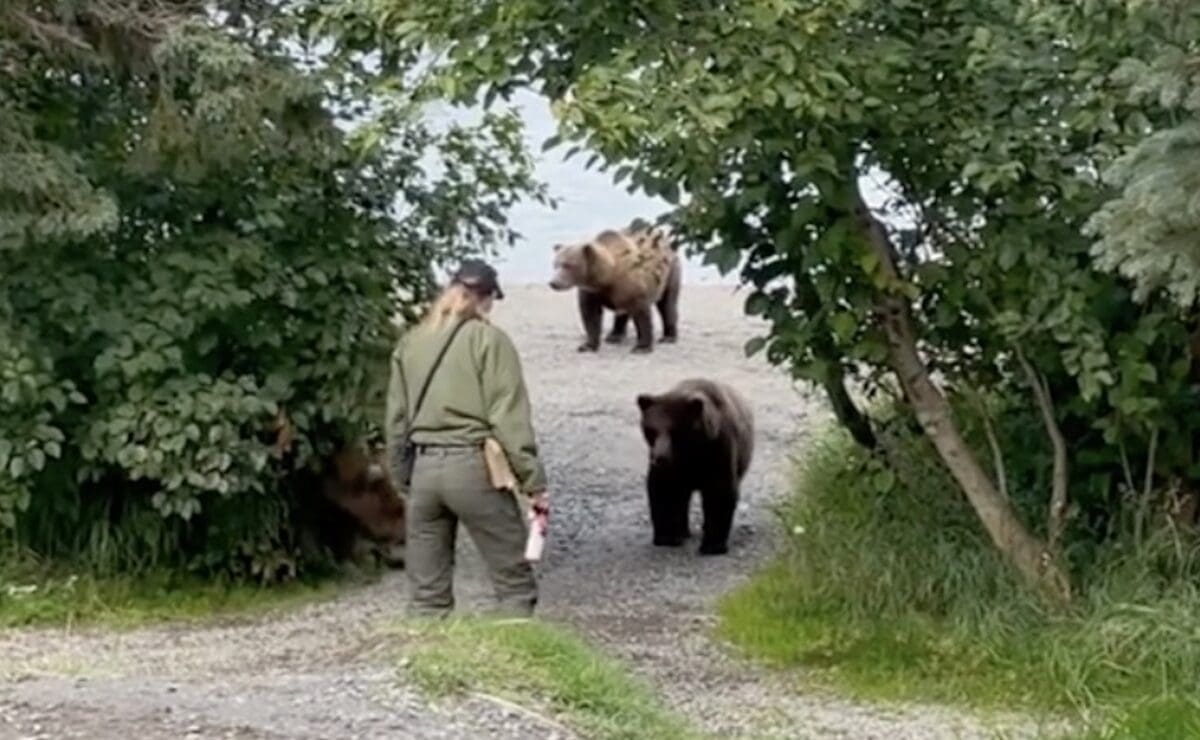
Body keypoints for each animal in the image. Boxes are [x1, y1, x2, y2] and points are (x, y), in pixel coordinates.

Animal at [549, 219, 682, 353]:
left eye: (568, 265)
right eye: (555, 264)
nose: (553, 283)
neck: (608, 276)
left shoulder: (633, 286)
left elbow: (642, 314)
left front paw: (642, 347)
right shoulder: (591, 291)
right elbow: (590, 315)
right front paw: (587, 345)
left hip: (671, 273)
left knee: (668, 304)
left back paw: (669, 337)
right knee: (623, 312)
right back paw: (614, 335)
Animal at [636, 378, 754, 555]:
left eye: (675, 431)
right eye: (651, 430)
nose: (660, 458)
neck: (692, 451)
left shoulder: (719, 449)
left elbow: (719, 492)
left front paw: (712, 545)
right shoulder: (671, 465)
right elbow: (663, 489)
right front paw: (667, 537)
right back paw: (683, 531)